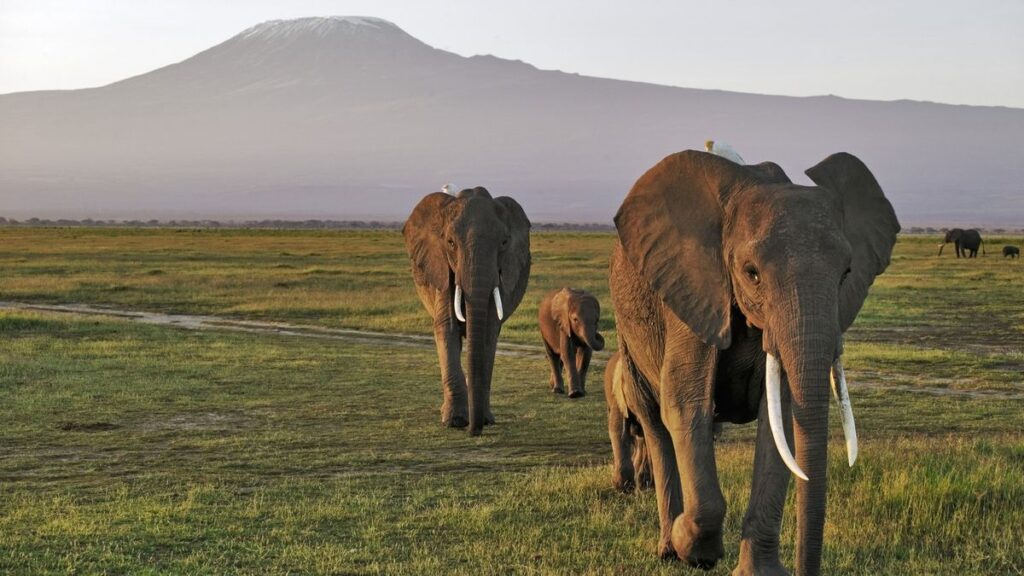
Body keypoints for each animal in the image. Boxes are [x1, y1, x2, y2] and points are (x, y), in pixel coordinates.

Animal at [401, 186, 532, 432]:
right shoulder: (441, 268)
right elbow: (447, 328)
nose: (474, 430)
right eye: (450, 242)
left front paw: (485, 420)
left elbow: (488, 332)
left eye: (504, 242)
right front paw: (455, 422)